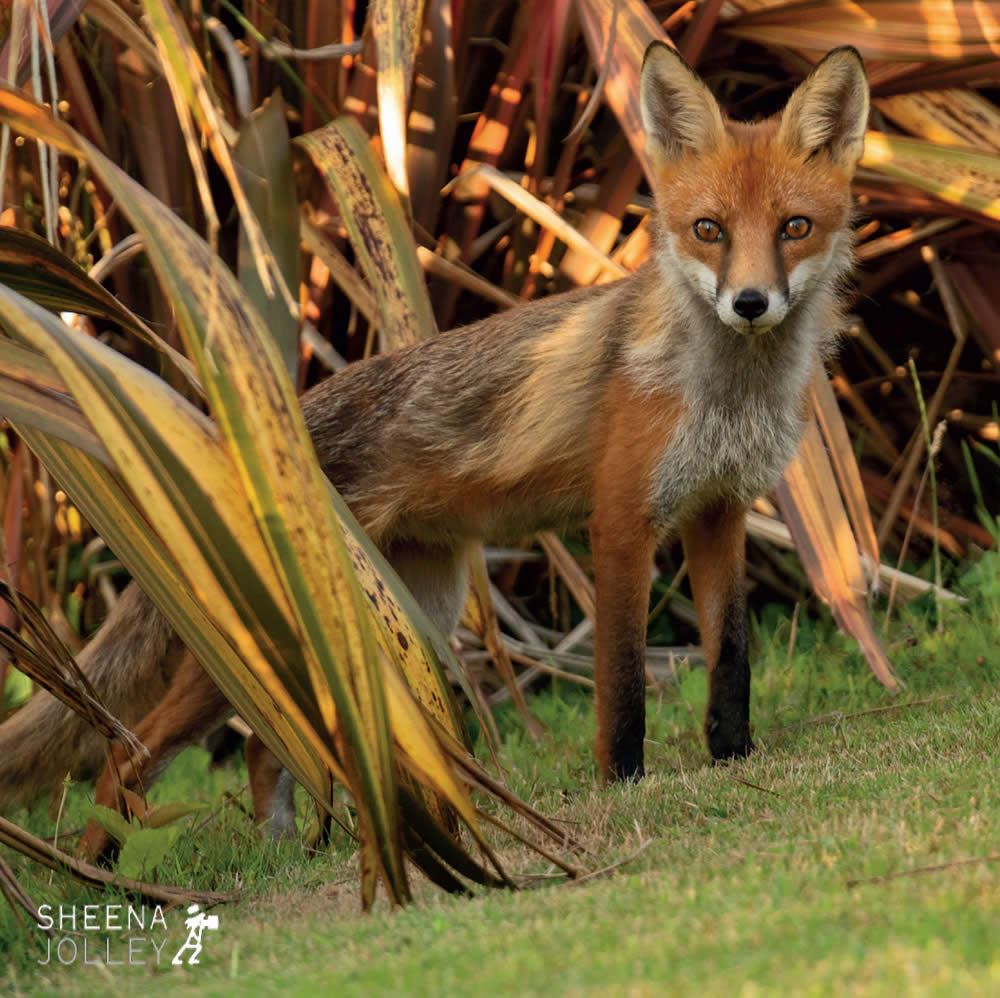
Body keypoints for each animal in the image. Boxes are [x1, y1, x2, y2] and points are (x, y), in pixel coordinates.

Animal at [0, 39, 868, 852]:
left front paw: (734, 761)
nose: (749, 302)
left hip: (407, 612)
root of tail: (255, 428)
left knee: (267, 747)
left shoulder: (718, 510)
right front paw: (625, 784)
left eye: (794, 228)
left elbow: (731, 660)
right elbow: (622, 686)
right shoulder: (622, 523)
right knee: (129, 755)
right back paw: (113, 871)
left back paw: (301, 851)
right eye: (708, 231)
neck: (724, 392)